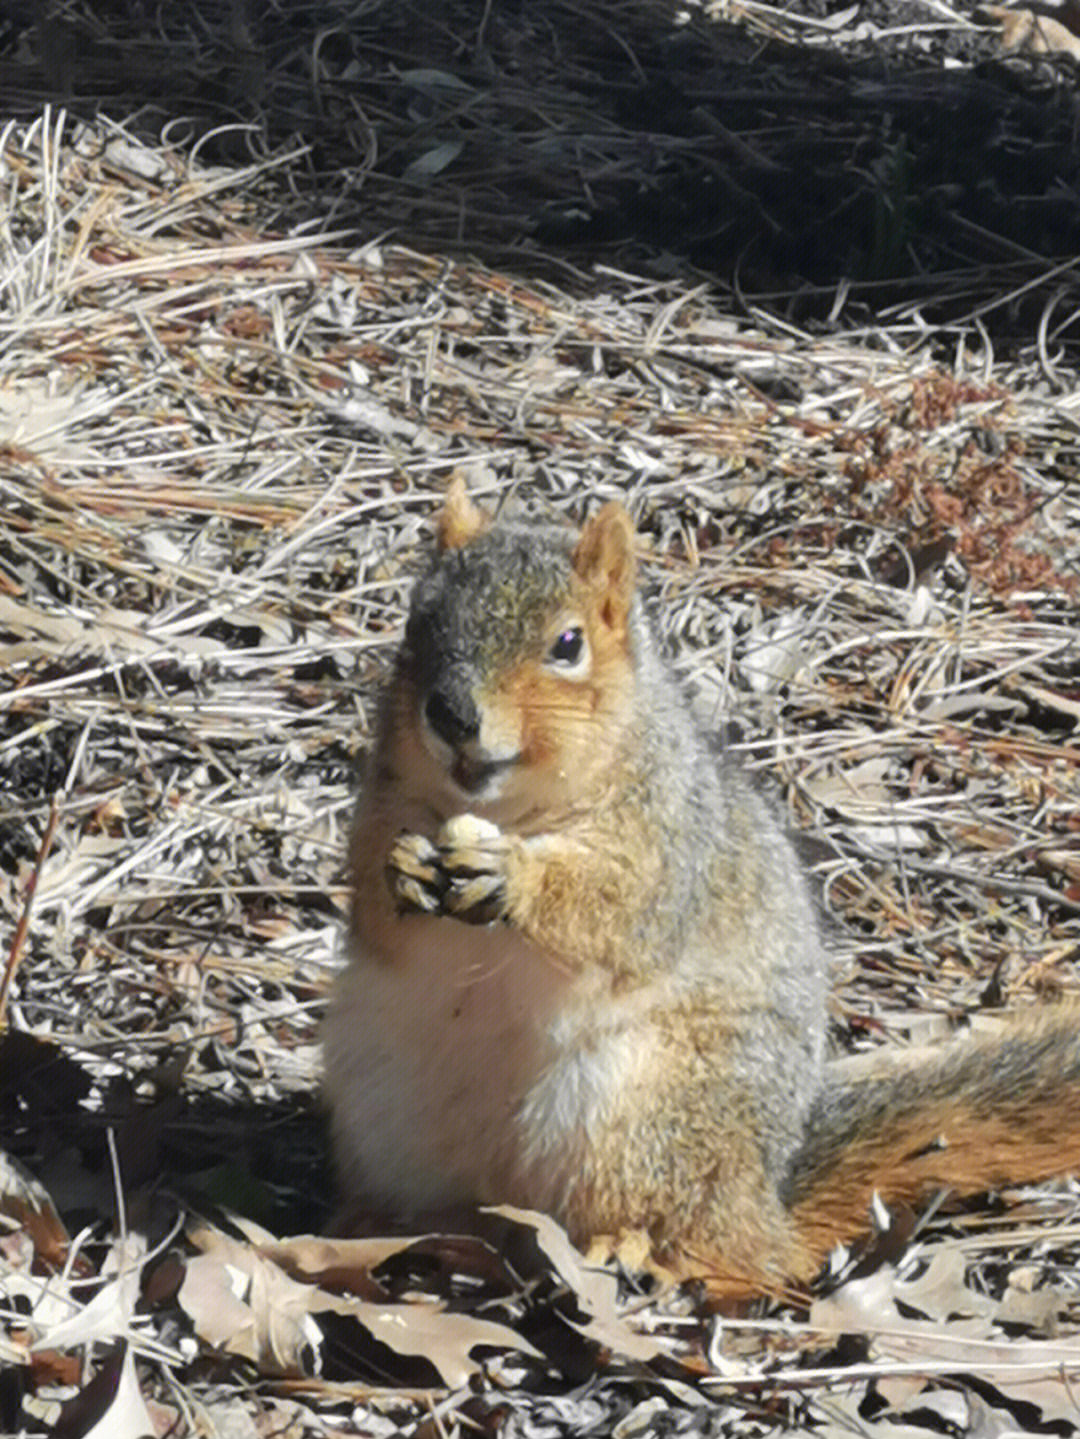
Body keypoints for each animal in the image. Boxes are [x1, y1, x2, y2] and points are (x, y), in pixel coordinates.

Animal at [325, 489, 1080, 1300]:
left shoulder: (667, 838)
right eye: (416, 622)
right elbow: (373, 898)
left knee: (696, 1238)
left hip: (640, 1110)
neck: (506, 808)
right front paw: (402, 866)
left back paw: (630, 1249)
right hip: (384, 1101)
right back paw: (389, 1227)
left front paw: (519, 876)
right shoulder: (383, 800)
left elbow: (619, 905)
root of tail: (761, 1204)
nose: (452, 715)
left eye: (568, 643)